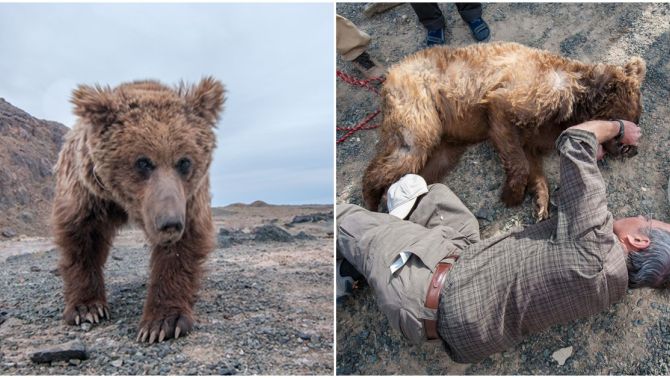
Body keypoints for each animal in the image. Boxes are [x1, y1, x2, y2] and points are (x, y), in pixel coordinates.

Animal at [51, 77, 226, 342]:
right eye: (143, 162)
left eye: (184, 161)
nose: (170, 223)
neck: (122, 202)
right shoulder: (87, 192)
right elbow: (81, 240)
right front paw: (87, 308)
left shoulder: (189, 198)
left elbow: (181, 248)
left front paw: (162, 323)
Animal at [364, 41, 648, 220]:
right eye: (630, 119)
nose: (633, 149)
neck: (574, 104)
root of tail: (392, 72)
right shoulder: (521, 97)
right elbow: (510, 135)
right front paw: (511, 194)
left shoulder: (538, 131)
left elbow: (531, 159)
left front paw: (540, 202)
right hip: (420, 102)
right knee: (410, 147)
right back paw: (371, 199)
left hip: (447, 139)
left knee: (430, 164)